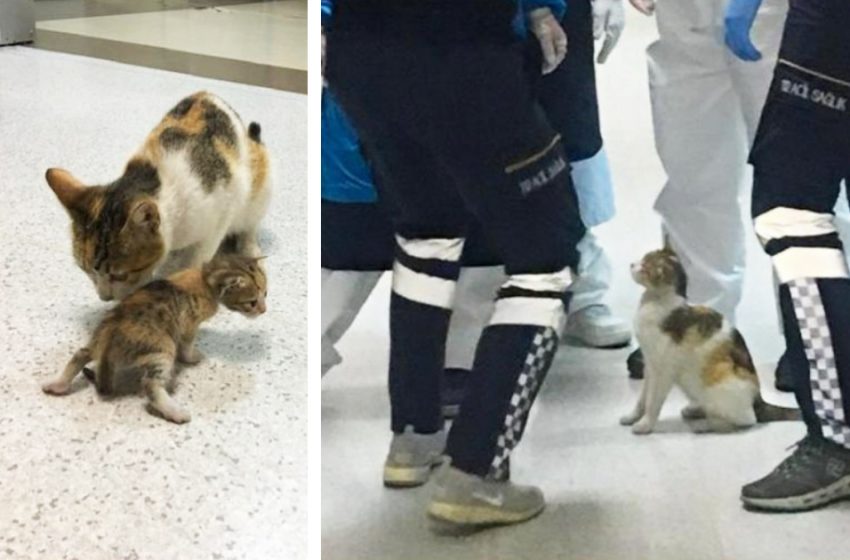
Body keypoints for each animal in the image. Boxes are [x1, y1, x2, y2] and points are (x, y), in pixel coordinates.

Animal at [39, 255, 264, 424]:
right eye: (252, 302)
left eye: (266, 294)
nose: (264, 310)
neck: (204, 277)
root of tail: (109, 338)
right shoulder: (189, 326)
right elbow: (187, 345)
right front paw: (192, 357)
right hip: (163, 350)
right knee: (151, 385)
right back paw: (176, 412)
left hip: (97, 339)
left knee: (81, 354)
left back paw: (57, 385)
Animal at [45, 92, 268, 302]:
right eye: (87, 271)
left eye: (120, 275)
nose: (104, 297)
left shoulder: (220, 214)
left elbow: (198, 257)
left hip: (259, 188)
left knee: (250, 223)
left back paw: (249, 248)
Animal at [616, 247, 796, 436]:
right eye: (642, 259)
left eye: (644, 266)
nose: (632, 264)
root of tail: (758, 400)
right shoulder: (650, 366)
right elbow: (642, 399)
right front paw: (632, 417)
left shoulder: (663, 371)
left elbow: (653, 402)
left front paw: (645, 424)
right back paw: (695, 410)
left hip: (719, 378)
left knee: (747, 420)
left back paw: (705, 425)